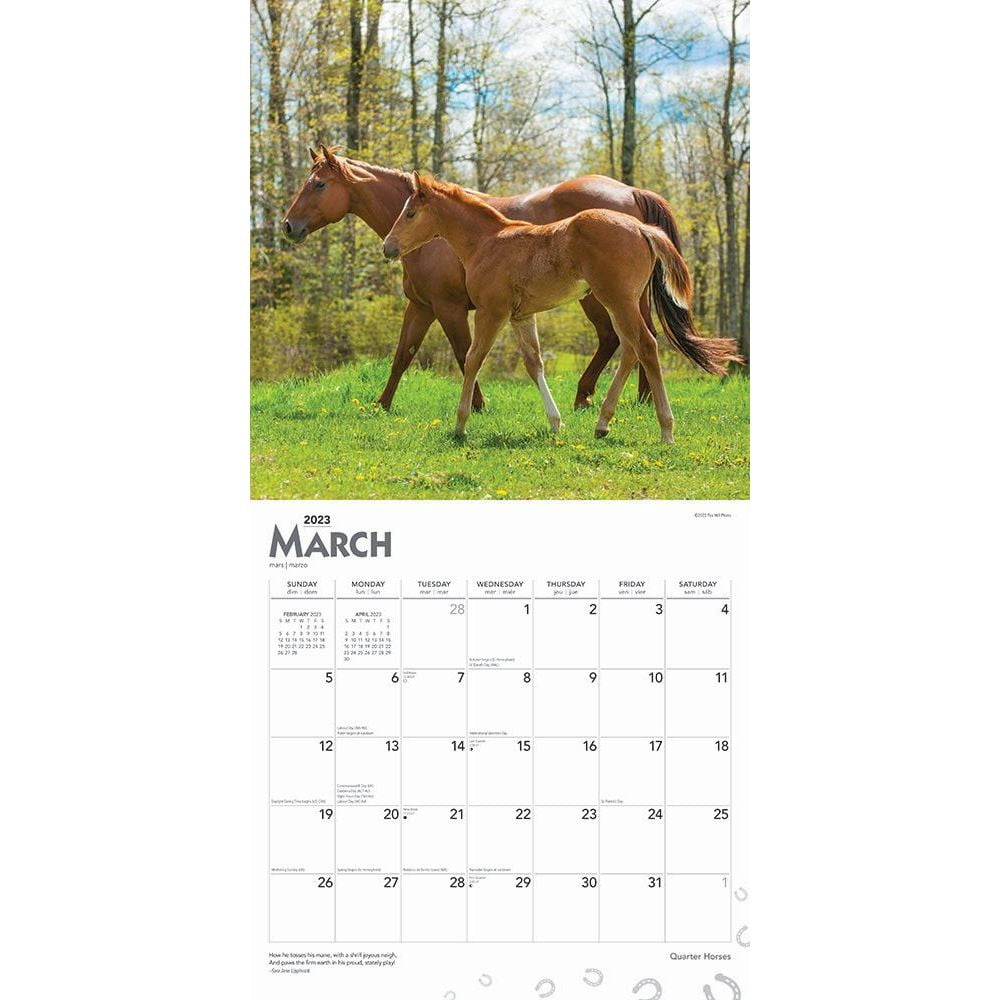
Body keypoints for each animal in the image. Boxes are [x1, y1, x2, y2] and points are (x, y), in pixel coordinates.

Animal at [281, 145, 686, 411]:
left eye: (319, 185)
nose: (288, 226)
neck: (439, 235)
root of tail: (630, 191)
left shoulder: (450, 308)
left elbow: (465, 355)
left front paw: (476, 405)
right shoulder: (421, 307)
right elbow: (402, 356)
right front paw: (382, 403)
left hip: (602, 297)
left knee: (619, 338)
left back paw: (594, 397)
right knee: (635, 339)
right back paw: (638, 399)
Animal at [383, 173, 743, 443]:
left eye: (410, 213)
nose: (388, 247)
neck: (488, 241)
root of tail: (642, 228)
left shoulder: (491, 311)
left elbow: (472, 359)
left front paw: (460, 425)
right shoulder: (522, 316)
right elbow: (534, 364)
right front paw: (556, 423)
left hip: (617, 300)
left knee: (645, 345)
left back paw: (665, 429)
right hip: (617, 303)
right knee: (630, 348)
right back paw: (602, 423)